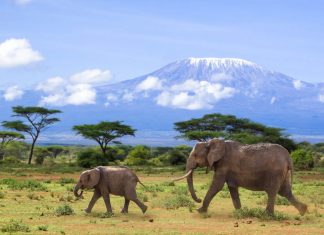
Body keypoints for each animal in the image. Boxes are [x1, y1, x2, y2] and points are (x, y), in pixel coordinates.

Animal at [175, 139, 306, 216]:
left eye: (195, 155)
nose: (198, 199)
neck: (211, 142)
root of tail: (288, 157)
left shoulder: (224, 164)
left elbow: (217, 185)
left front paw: (200, 211)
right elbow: (232, 187)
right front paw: (240, 212)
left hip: (275, 173)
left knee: (273, 191)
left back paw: (266, 215)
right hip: (283, 173)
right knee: (285, 192)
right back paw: (304, 211)